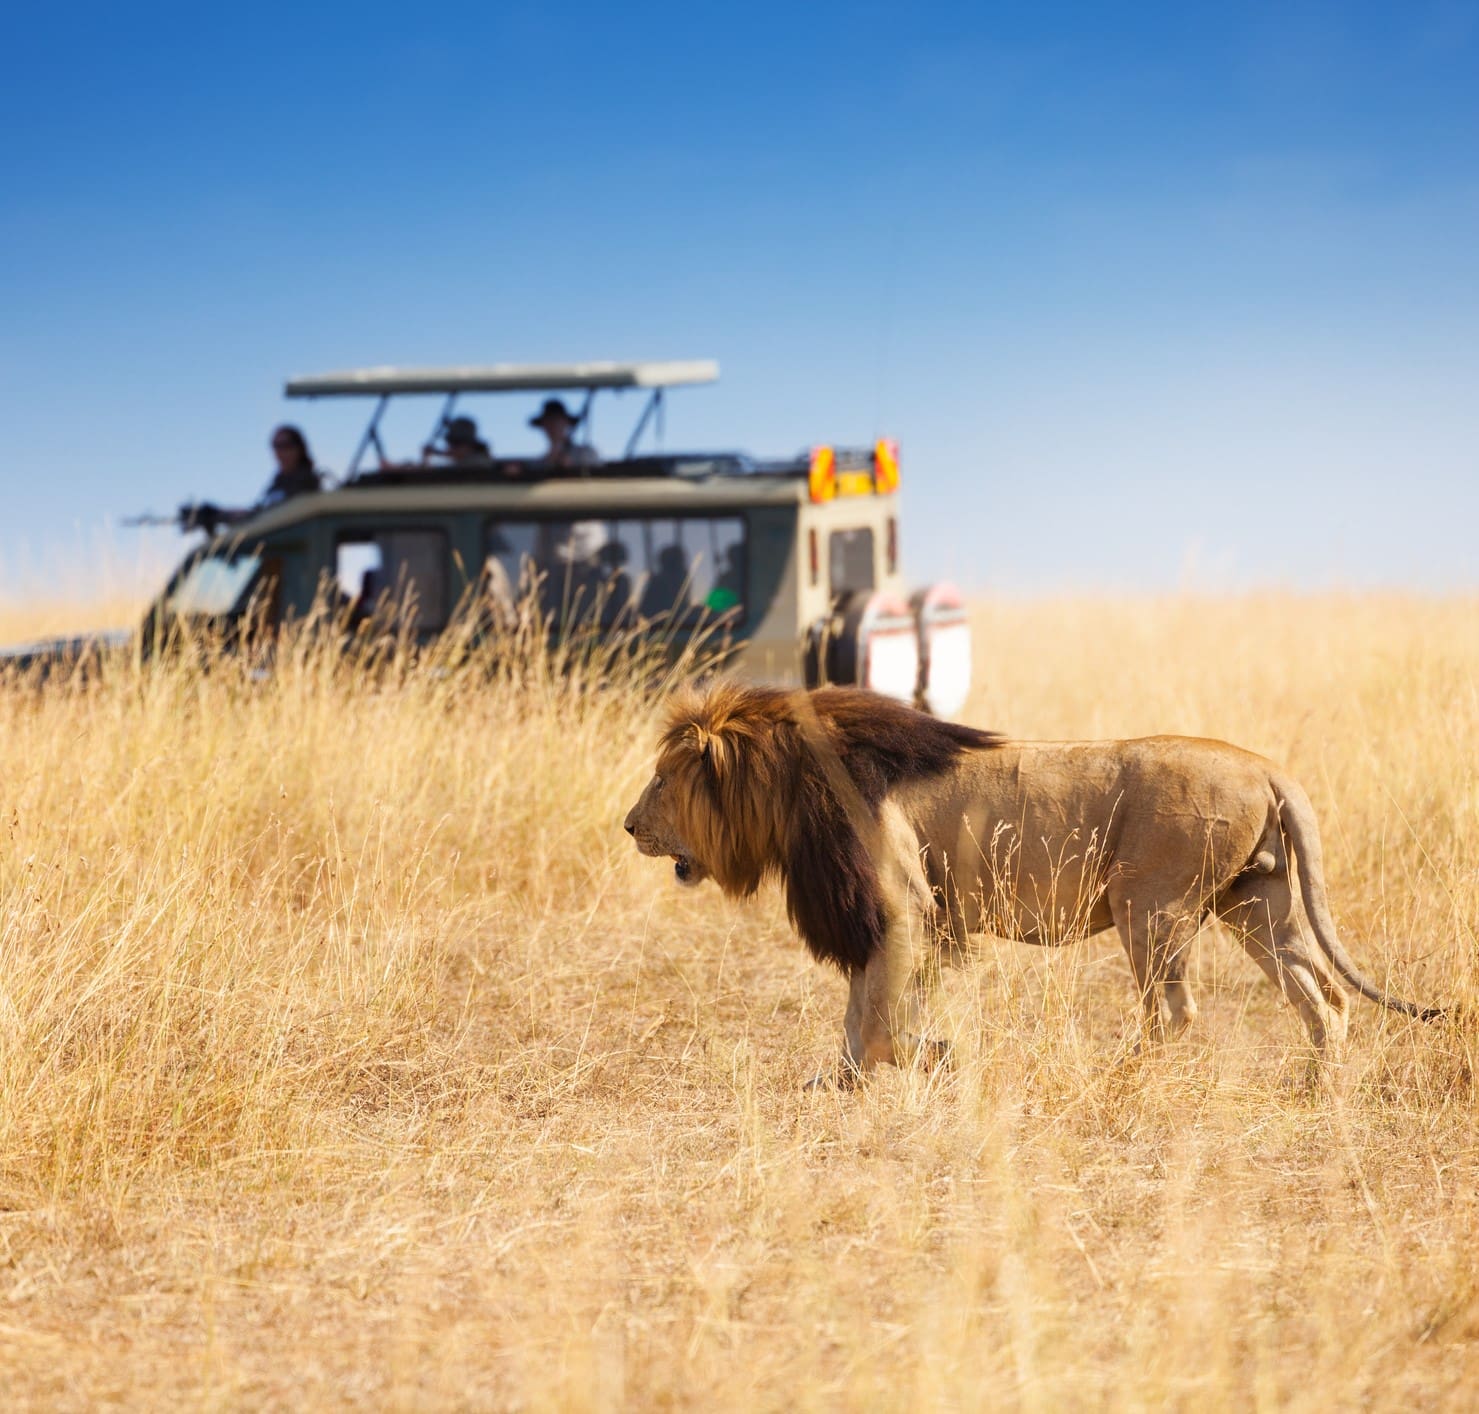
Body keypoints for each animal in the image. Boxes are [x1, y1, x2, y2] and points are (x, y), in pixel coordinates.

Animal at [623, 682, 1441, 1079]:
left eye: (661, 780)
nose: (629, 826)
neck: (790, 782)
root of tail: (1267, 767)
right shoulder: (896, 918)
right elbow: (862, 1014)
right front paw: (845, 1081)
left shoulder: (901, 906)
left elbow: (879, 1020)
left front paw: (933, 1058)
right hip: (1255, 902)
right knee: (1324, 997)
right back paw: (1316, 1090)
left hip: (1151, 904)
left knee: (1175, 1012)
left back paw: (1121, 1077)